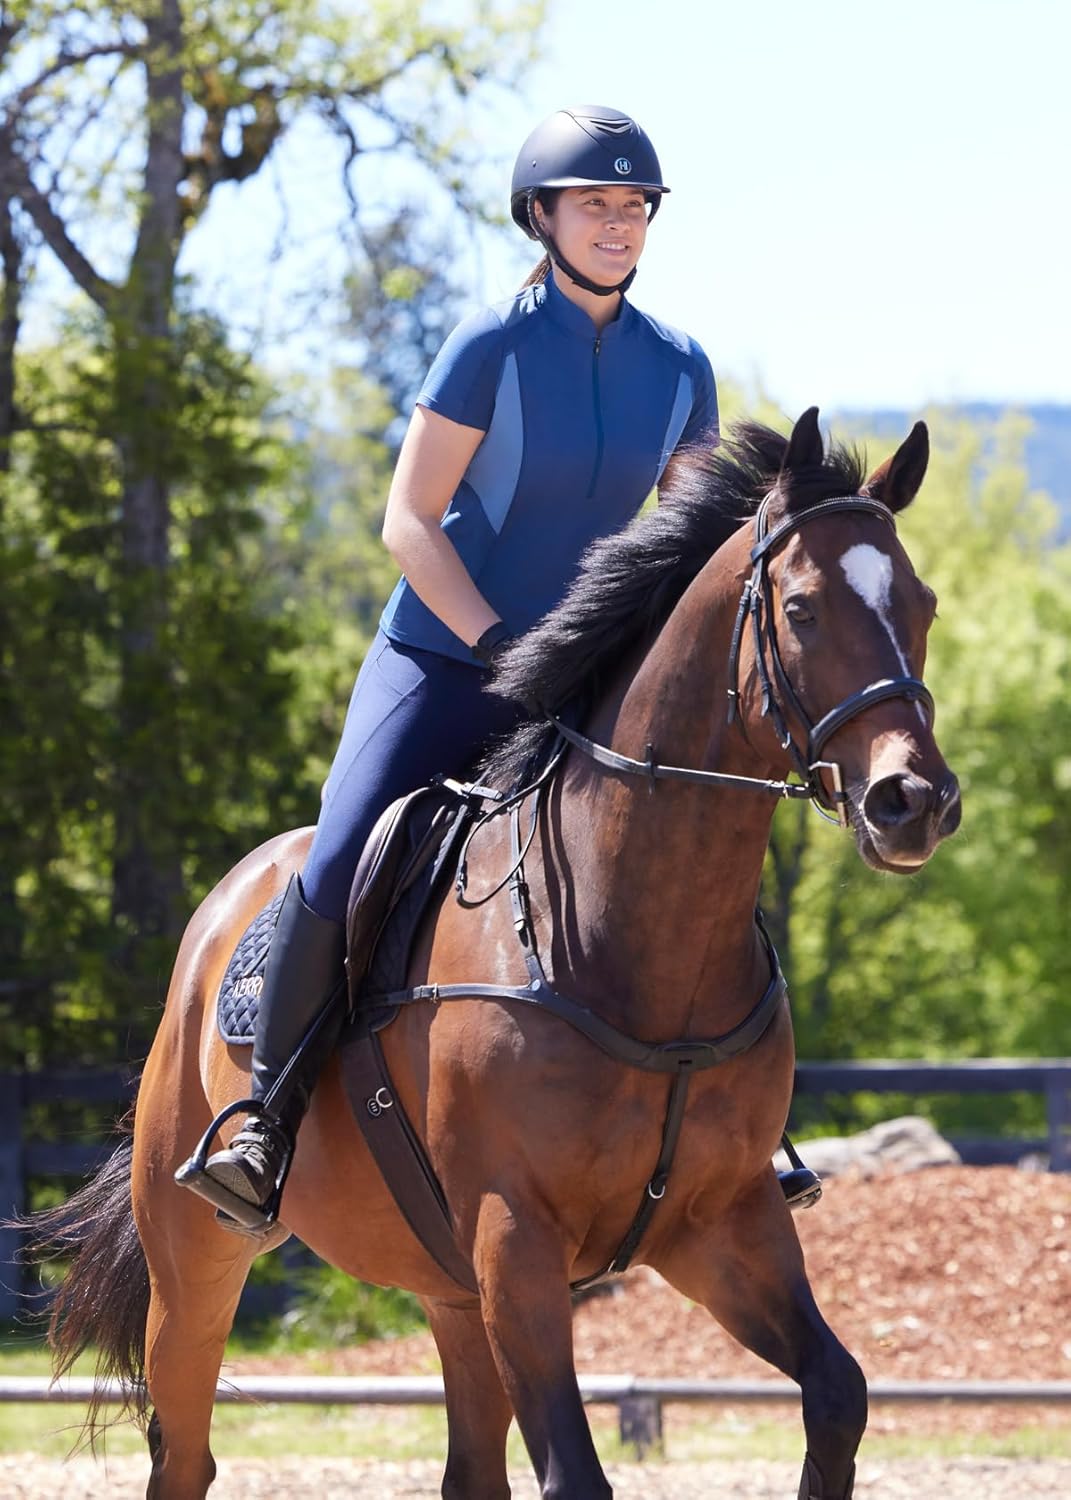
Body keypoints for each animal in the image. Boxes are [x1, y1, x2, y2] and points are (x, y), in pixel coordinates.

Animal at [31, 407, 961, 1499]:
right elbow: (576, 1472)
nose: (913, 802)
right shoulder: (514, 1239)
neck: (629, 938)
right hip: (199, 1265)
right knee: (184, 1452)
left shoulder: (723, 1226)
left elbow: (837, 1393)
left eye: (922, 605)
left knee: (470, 1464)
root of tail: (221, 910)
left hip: (450, 1287)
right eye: (804, 610)